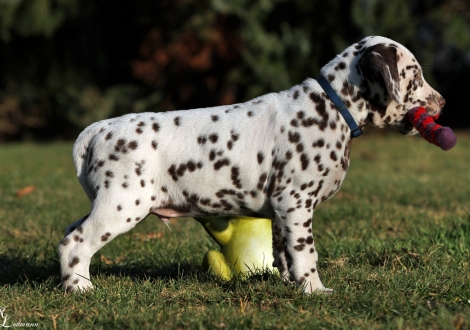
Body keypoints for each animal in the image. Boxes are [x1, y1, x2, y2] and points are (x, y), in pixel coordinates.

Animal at [58, 36, 444, 294]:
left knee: (68, 233)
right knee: (76, 242)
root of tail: (96, 130)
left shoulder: (282, 211)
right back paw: (81, 289)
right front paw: (315, 290)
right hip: (121, 205)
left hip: (106, 203)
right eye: (415, 76)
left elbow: (284, 251)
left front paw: (289, 283)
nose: (443, 102)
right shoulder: (295, 201)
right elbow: (306, 252)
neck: (331, 108)